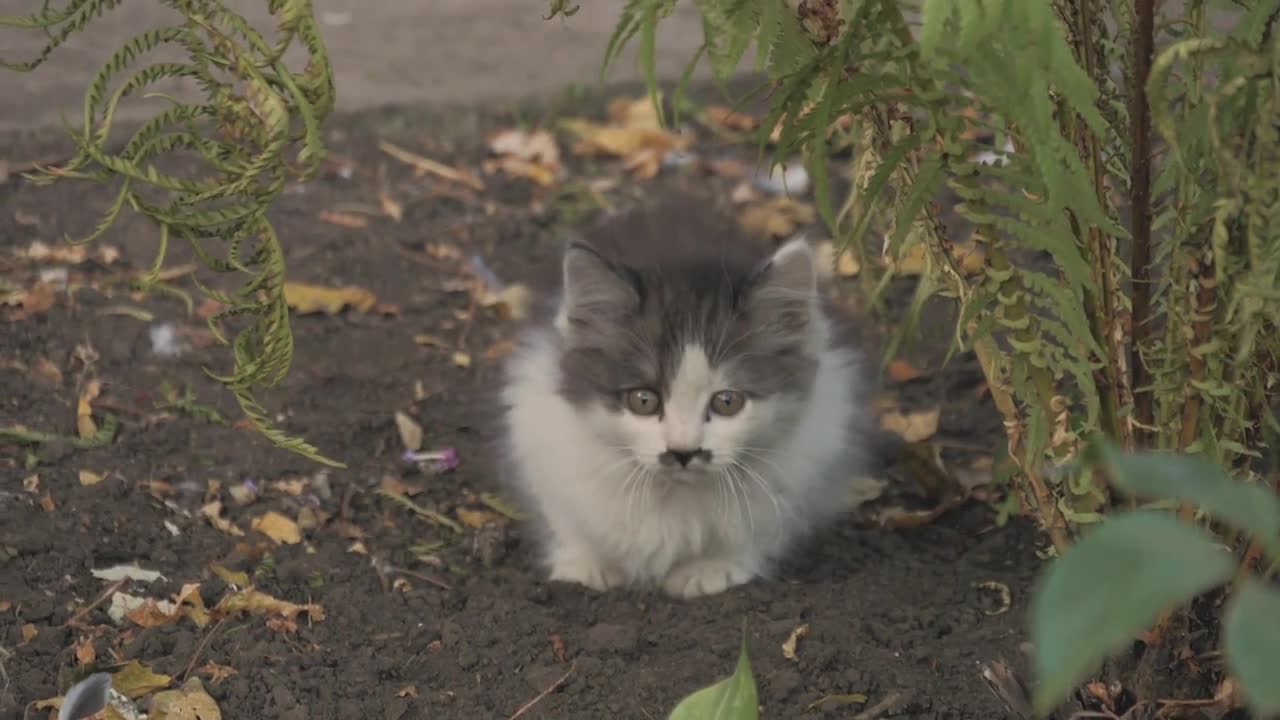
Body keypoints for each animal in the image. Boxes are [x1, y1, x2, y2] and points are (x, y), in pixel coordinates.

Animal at [499, 199, 870, 594]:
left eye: (727, 402)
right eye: (643, 400)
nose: (683, 452)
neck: (673, 495)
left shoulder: (813, 449)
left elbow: (759, 527)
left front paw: (712, 568)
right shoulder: (538, 430)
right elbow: (568, 518)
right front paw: (585, 564)